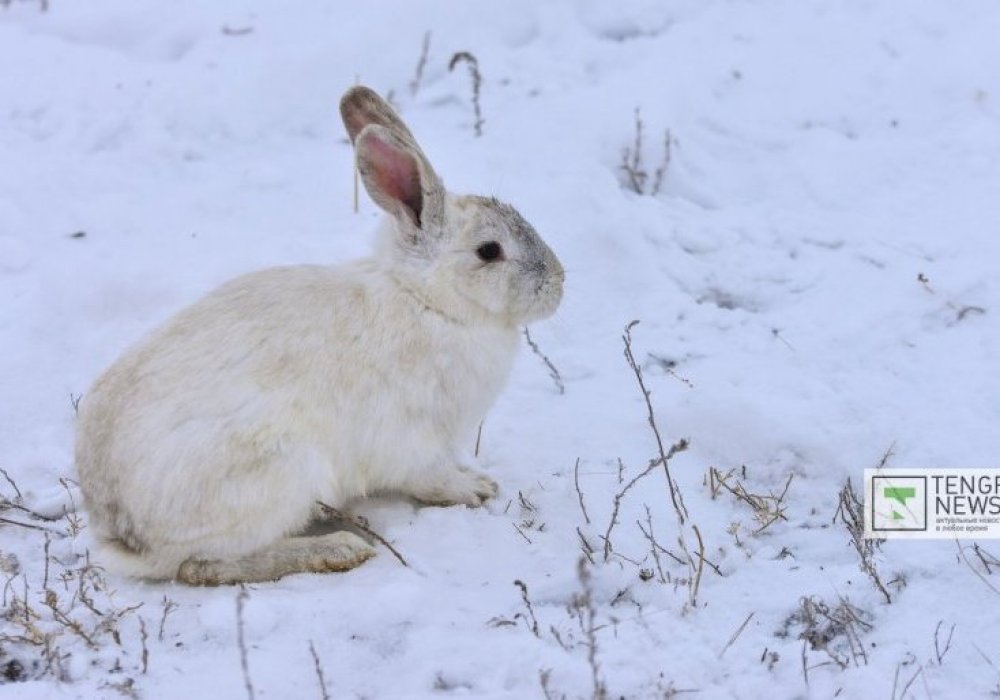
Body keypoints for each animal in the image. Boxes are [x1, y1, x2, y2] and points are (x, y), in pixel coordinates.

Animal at [76, 86, 564, 584]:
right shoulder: (414, 440)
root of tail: (125, 534)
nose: (559, 282)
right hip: (279, 474)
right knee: (202, 565)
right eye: (490, 251)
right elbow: (430, 476)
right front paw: (476, 488)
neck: (426, 300)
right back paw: (336, 549)